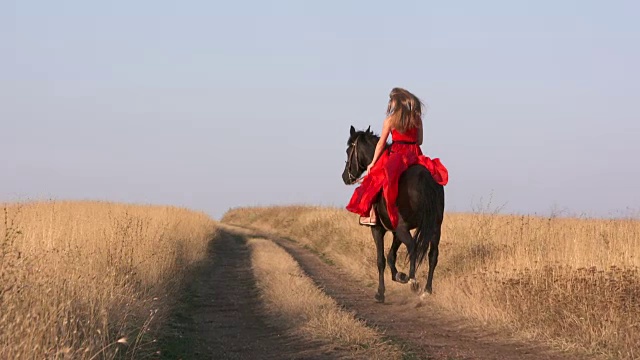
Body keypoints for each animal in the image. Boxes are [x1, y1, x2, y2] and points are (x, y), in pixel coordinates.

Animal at [342, 125, 442, 302]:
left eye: (348, 151)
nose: (345, 177)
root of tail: (425, 177)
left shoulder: (378, 229)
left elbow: (381, 259)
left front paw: (380, 293)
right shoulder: (396, 230)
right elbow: (391, 256)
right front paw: (400, 276)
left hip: (404, 228)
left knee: (413, 247)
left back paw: (414, 283)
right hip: (435, 227)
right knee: (433, 254)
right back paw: (427, 290)